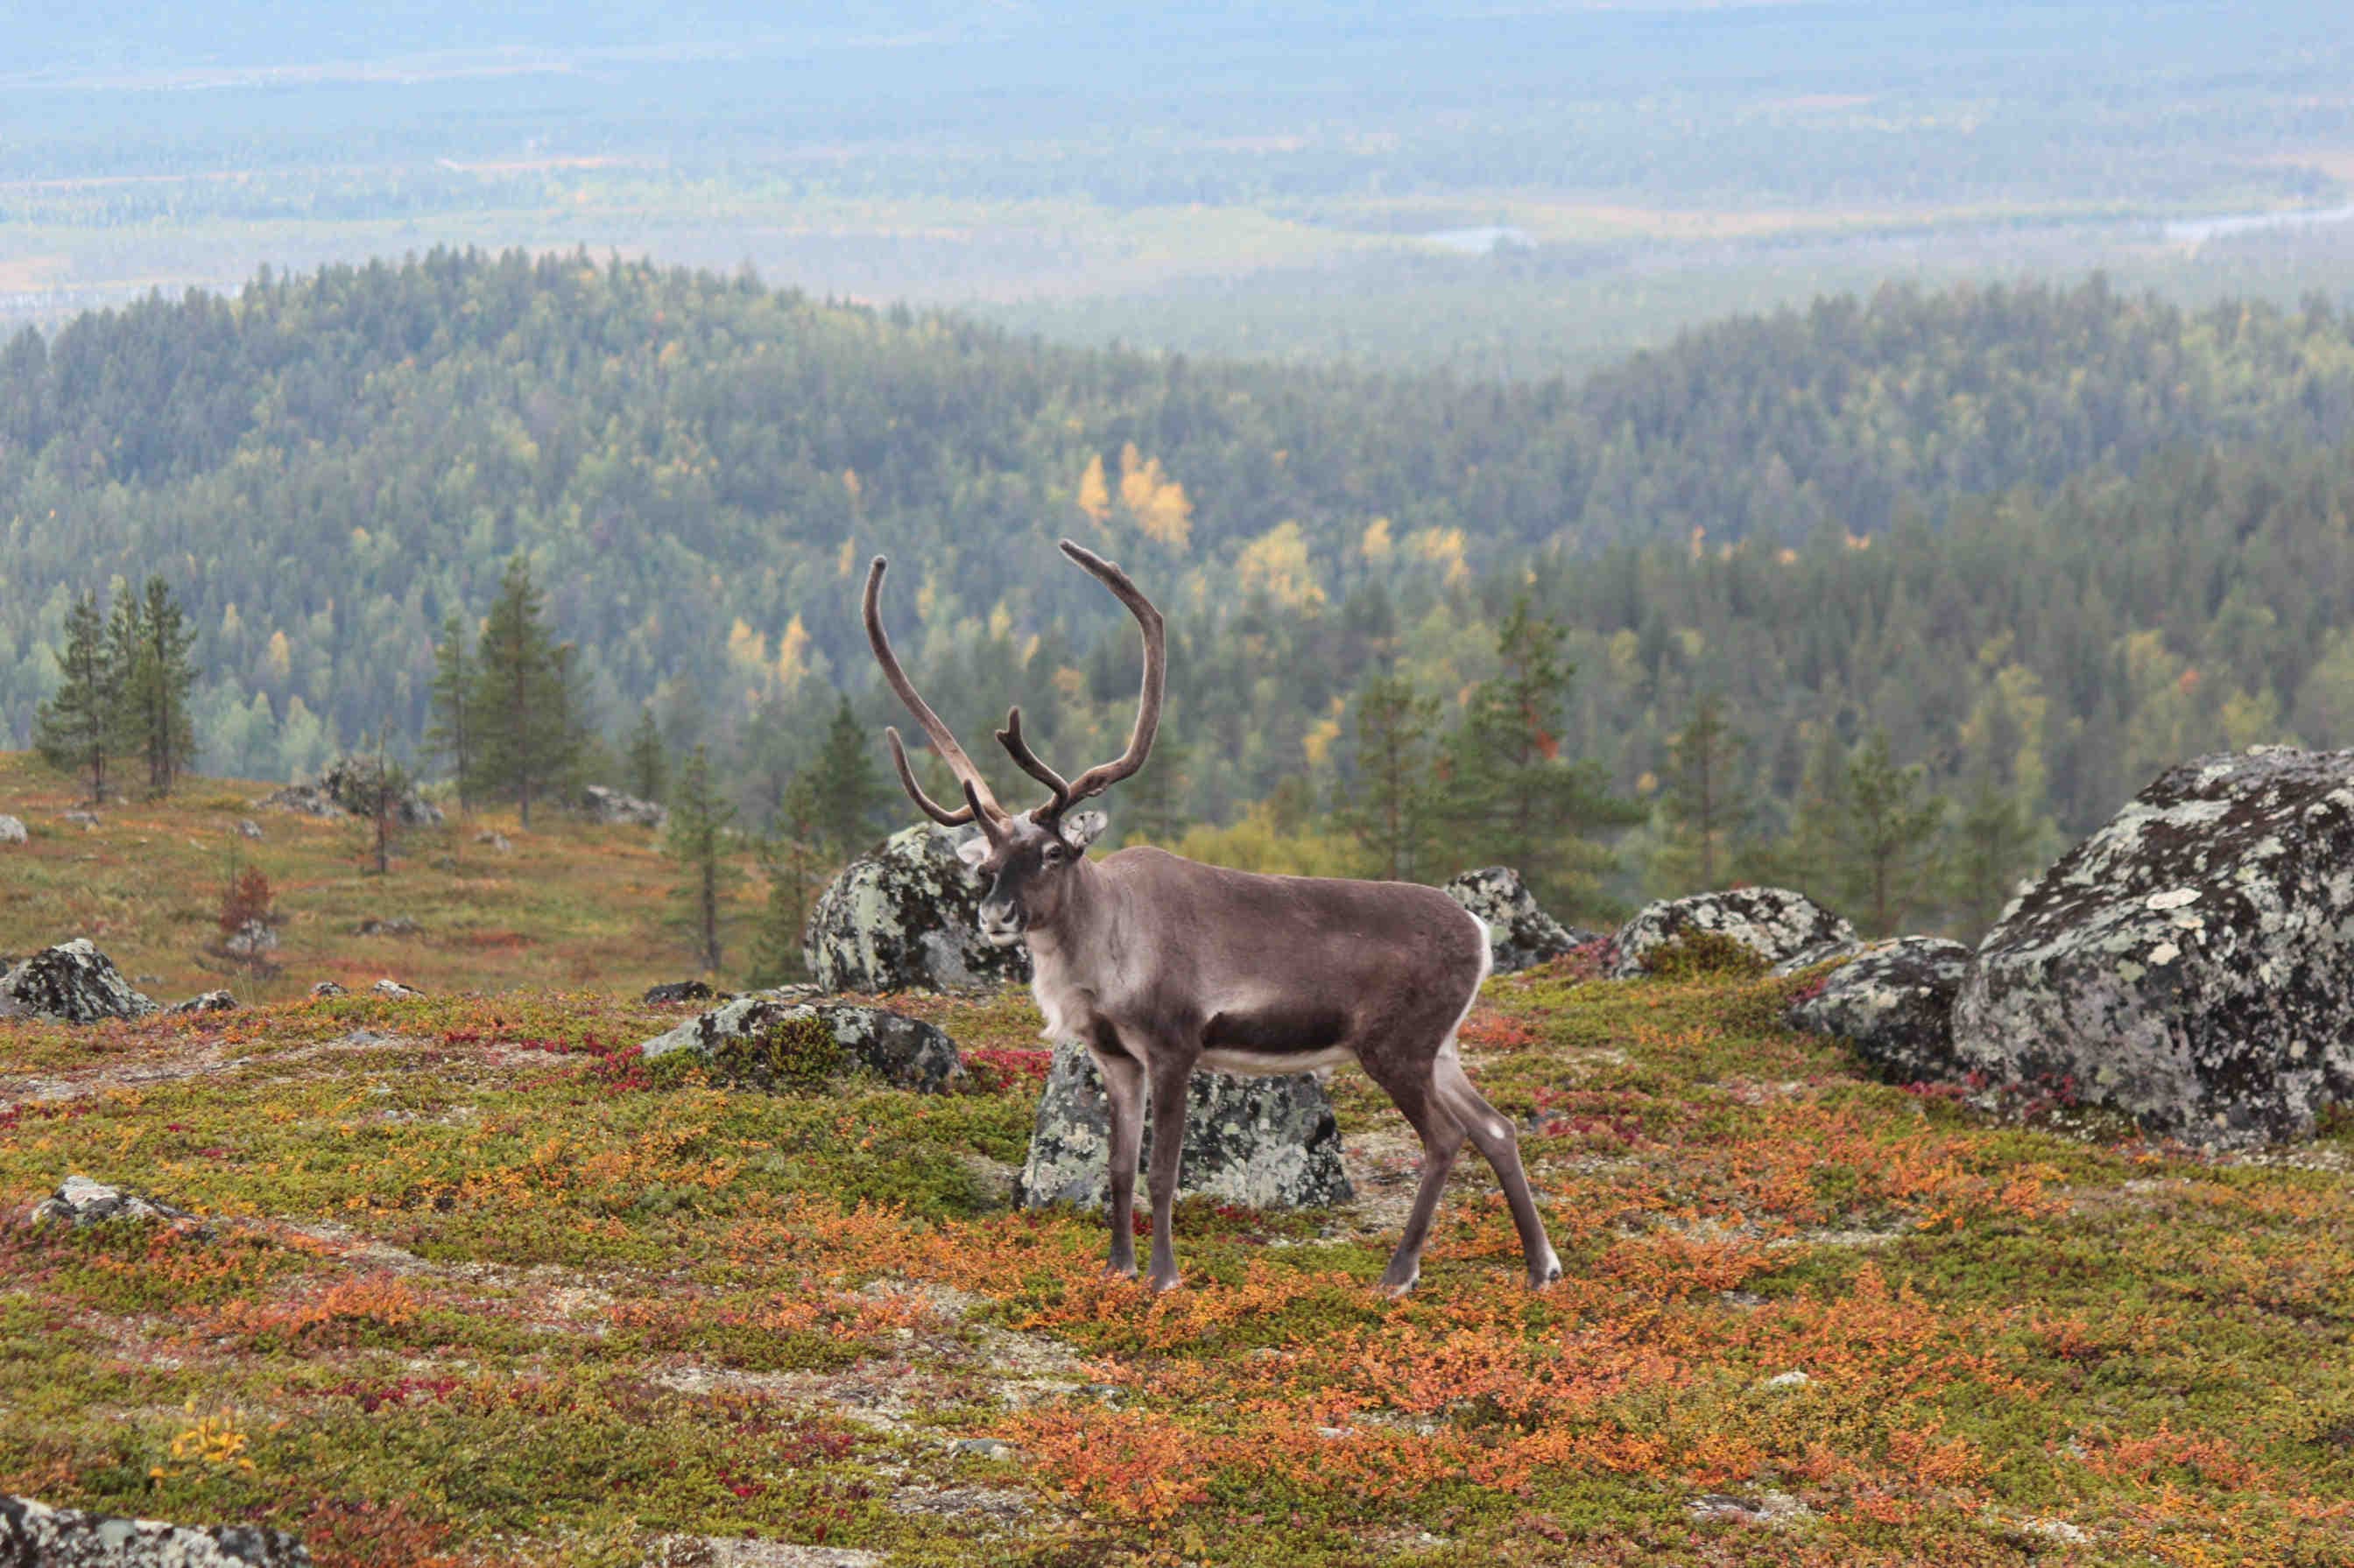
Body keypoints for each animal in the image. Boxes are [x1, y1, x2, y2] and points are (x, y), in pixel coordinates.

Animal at [863, 540, 1562, 1297]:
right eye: (985, 865)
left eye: (1051, 851)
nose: (995, 914)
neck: (1103, 952)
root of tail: (1482, 933)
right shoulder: (1114, 1056)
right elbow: (1117, 1169)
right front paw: (1115, 1268)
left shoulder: (1175, 1043)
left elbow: (1163, 1173)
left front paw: (1163, 1276)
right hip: (1442, 1047)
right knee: (1497, 1127)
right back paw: (1540, 1267)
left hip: (1396, 1045)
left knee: (1447, 1137)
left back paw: (1398, 1274)